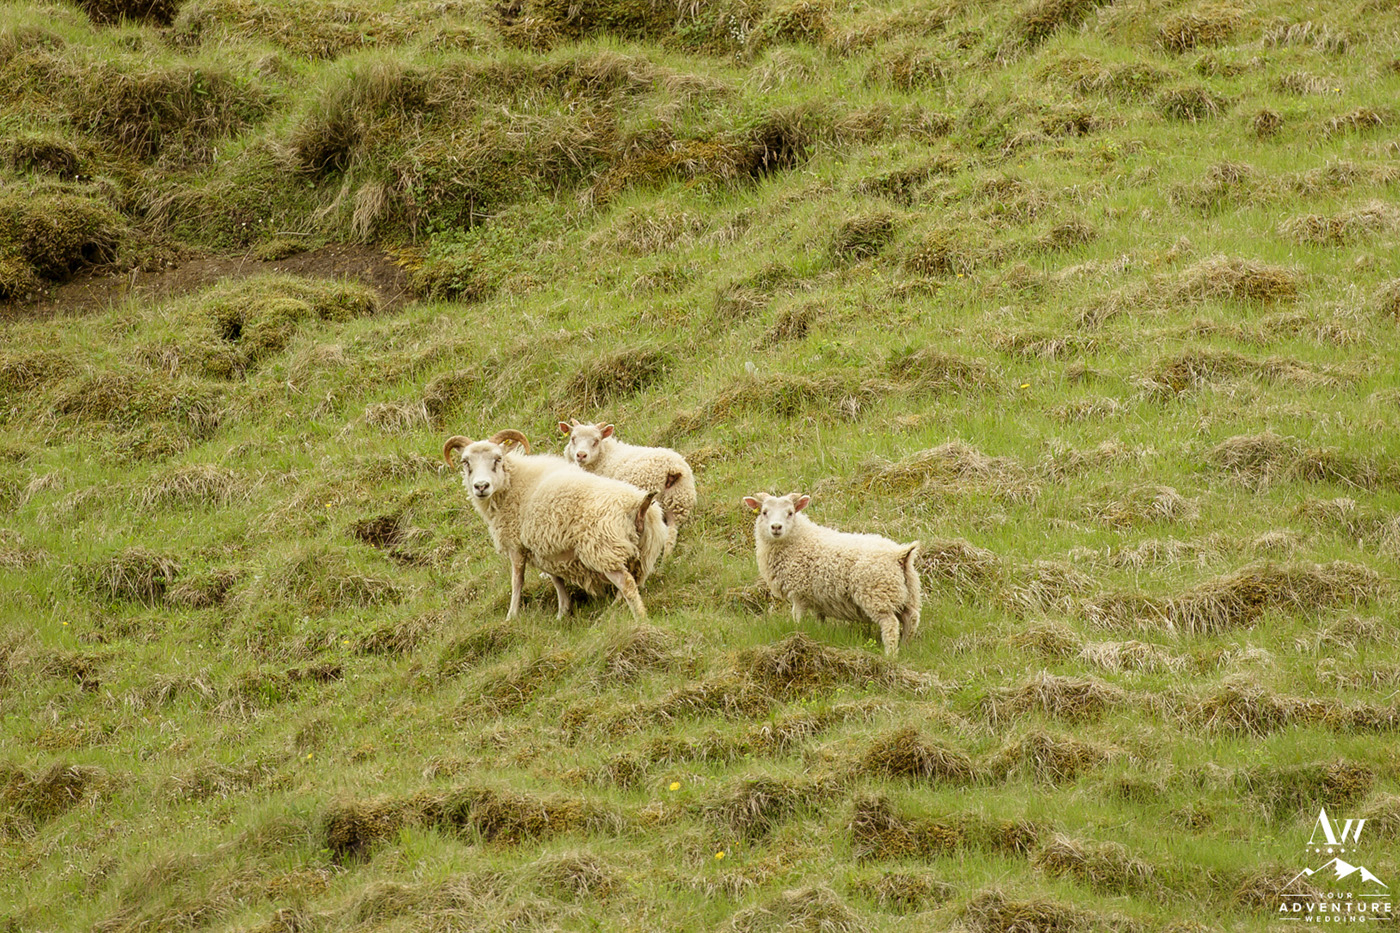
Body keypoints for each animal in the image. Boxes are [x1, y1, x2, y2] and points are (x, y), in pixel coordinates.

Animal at [443, 429, 668, 621]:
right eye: (465, 462)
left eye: (498, 459)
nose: (481, 486)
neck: (512, 485)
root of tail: (638, 505)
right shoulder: (544, 548)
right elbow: (556, 579)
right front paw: (563, 611)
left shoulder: (517, 545)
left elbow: (517, 581)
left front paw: (512, 616)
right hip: (642, 553)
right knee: (632, 583)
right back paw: (610, 612)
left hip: (603, 549)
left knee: (627, 584)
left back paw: (640, 618)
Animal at [558, 419, 697, 553]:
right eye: (573, 438)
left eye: (596, 441)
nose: (581, 455)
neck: (604, 457)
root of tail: (673, 469)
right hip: (678, 504)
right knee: (670, 536)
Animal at [742, 491, 920, 657]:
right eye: (764, 512)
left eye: (790, 513)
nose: (776, 527)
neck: (798, 540)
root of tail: (900, 554)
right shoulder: (818, 598)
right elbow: (819, 619)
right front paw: (818, 631)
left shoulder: (799, 593)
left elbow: (797, 617)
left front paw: (797, 633)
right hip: (907, 593)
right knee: (911, 619)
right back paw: (905, 647)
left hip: (878, 594)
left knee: (890, 624)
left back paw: (891, 655)